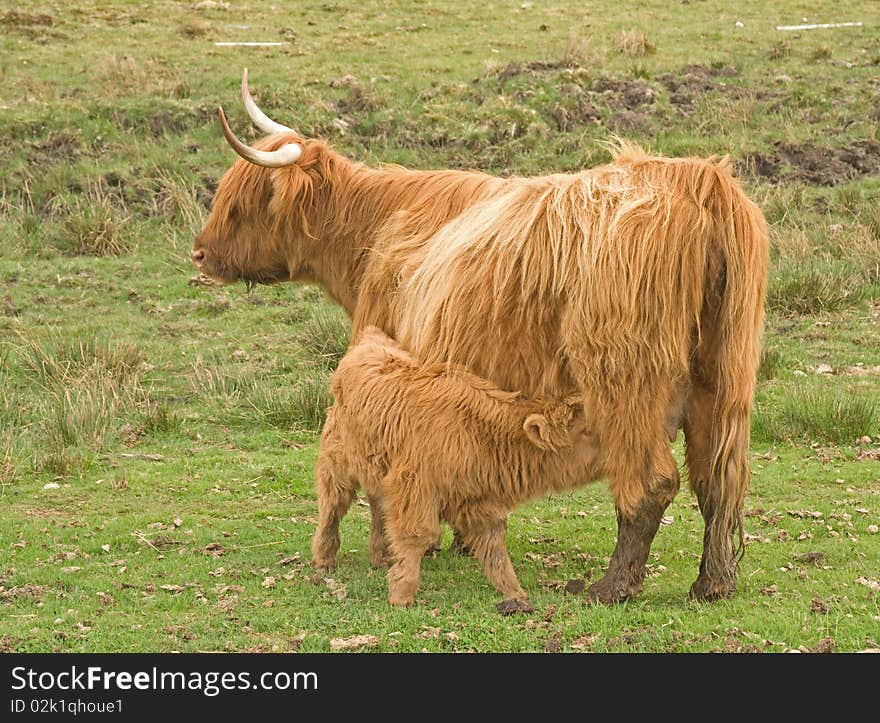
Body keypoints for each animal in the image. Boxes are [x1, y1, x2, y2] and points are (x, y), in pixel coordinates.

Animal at [191, 70, 764, 604]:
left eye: (240, 204)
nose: (199, 253)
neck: (376, 231)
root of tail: (698, 179)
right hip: (723, 376)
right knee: (718, 479)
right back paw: (713, 584)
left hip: (624, 381)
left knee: (650, 483)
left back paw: (612, 587)